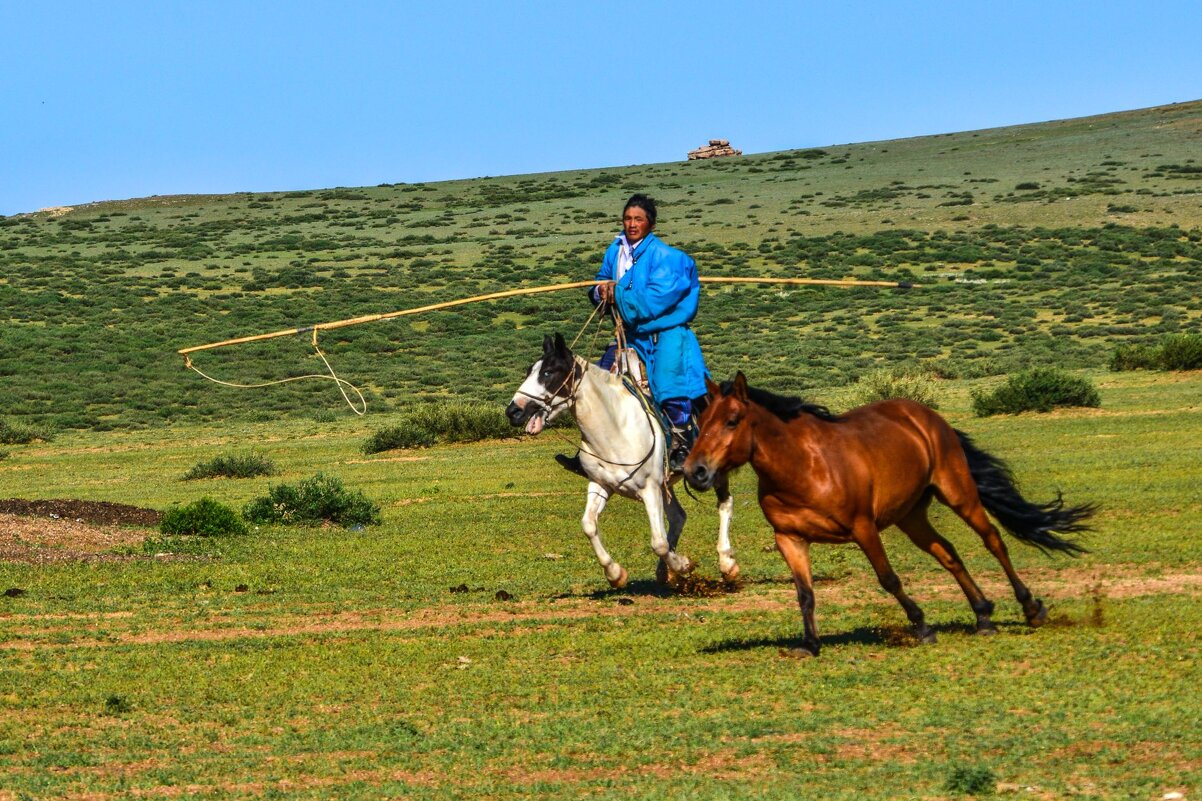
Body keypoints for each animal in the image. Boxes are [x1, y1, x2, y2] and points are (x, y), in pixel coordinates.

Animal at [504, 329, 735, 586]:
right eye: (529, 371)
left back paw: (727, 564)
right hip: (665, 484)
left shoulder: (649, 489)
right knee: (678, 517)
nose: (513, 411)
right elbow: (588, 525)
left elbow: (659, 542)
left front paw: (683, 564)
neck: (614, 427)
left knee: (725, 505)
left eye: (548, 372)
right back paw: (665, 572)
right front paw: (615, 573)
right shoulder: (601, 485)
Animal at [682, 370, 1096, 654]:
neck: (802, 467)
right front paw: (810, 644)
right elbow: (805, 593)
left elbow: (889, 579)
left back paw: (1031, 607)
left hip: (958, 494)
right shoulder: (790, 539)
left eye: (732, 421)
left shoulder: (864, 528)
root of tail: (926, 415)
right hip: (911, 516)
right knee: (948, 553)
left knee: (994, 540)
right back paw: (982, 615)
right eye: (700, 423)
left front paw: (922, 627)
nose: (694, 471)